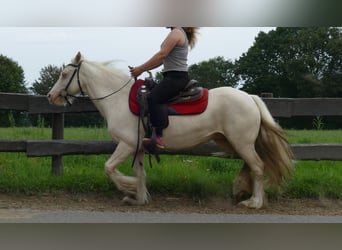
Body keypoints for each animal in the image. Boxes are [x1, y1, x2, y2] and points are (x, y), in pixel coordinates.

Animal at [47, 51, 294, 208]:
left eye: (64, 75)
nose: (51, 96)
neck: (118, 99)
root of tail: (250, 97)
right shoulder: (138, 147)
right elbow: (139, 173)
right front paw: (139, 198)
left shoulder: (126, 145)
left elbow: (109, 168)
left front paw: (128, 187)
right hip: (229, 141)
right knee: (250, 164)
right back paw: (241, 189)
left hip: (241, 142)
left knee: (258, 166)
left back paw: (254, 202)